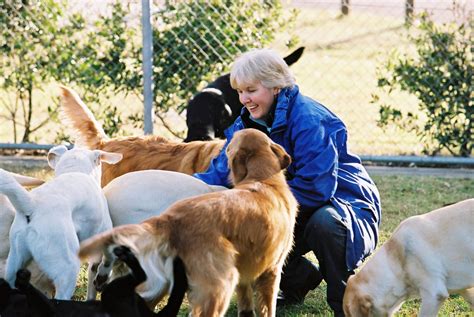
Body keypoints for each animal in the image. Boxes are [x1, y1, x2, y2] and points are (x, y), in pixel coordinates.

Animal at [0, 246, 189, 316]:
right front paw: (21, 279)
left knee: (141, 275)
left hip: (111, 293)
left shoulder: (47, 306)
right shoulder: (47, 310)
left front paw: (21, 278)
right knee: (141, 276)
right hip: (114, 296)